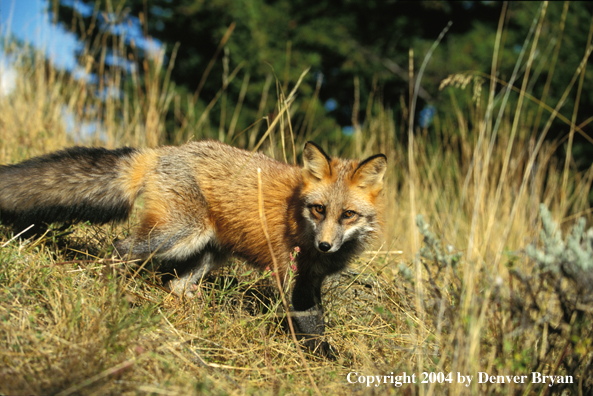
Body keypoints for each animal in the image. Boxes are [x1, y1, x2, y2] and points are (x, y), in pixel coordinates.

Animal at [0, 140, 386, 356]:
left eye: (348, 214)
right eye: (318, 209)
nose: (325, 245)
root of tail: (162, 150)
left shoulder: (311, 279)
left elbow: (316, 320)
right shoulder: (289, 273)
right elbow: (310, 326)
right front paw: (326, 357)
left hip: (211, 251)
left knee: (176, 285)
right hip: (178, 235)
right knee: (120, 248)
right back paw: (116, 291)